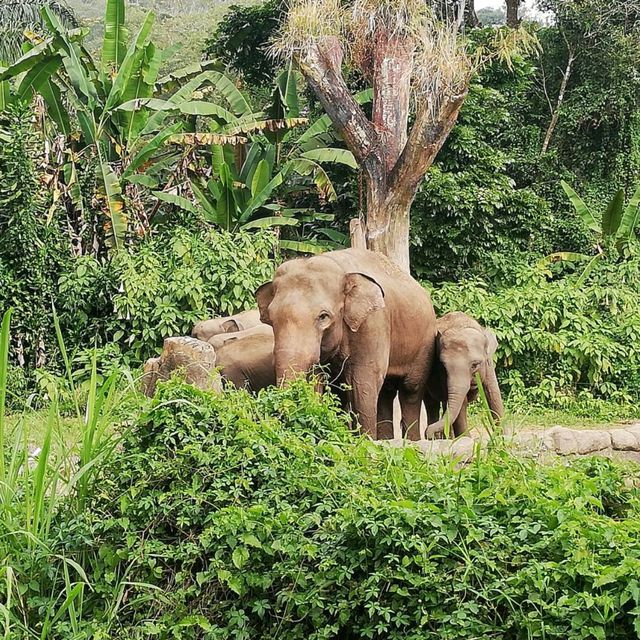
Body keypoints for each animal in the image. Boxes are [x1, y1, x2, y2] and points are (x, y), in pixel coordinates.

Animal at [258, 246, 438, 440]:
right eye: (272, 318)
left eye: (323, 316)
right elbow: (319, 379)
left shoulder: (374, 322)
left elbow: (364, 380)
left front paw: (366, 441)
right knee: (386, 392)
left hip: (424, 344)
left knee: (410, 390)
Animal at [424, 312, 504, 440]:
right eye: (443, 365)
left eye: (475, 365)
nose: (428, 433)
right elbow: (462, 403)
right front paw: (465, 439)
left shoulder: (489, 364)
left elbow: (493, 394)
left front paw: (502, 438)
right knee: (432, 403)